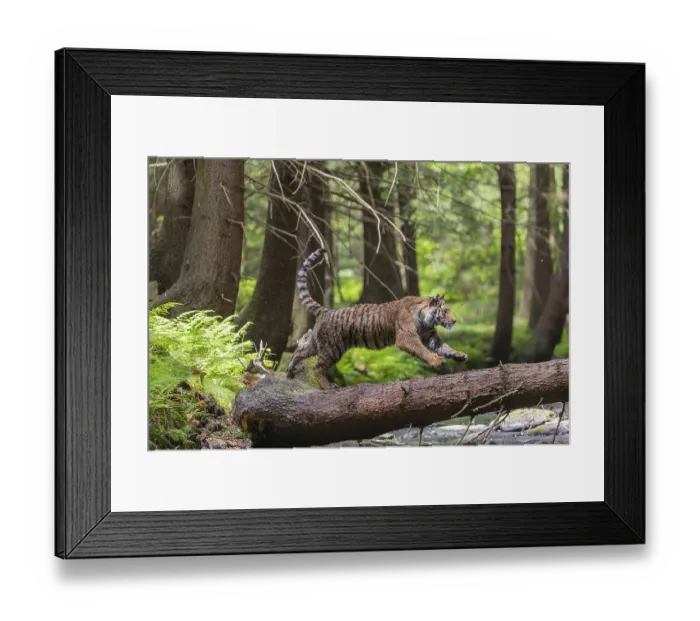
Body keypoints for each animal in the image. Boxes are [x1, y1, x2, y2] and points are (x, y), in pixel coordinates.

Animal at [286, 248, 468, 388]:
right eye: (445, 311)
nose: (454, 321)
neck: (426, 320)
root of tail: (325, 311)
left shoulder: (429, 336)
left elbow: (445, 347)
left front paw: (460, 355)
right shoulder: (407, 338)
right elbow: (423, 351)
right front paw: (436, 361)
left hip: (319, 344)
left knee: (300, 351)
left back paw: (289, 371)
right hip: (332, 348)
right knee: (317, 367)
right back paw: (327, 386)